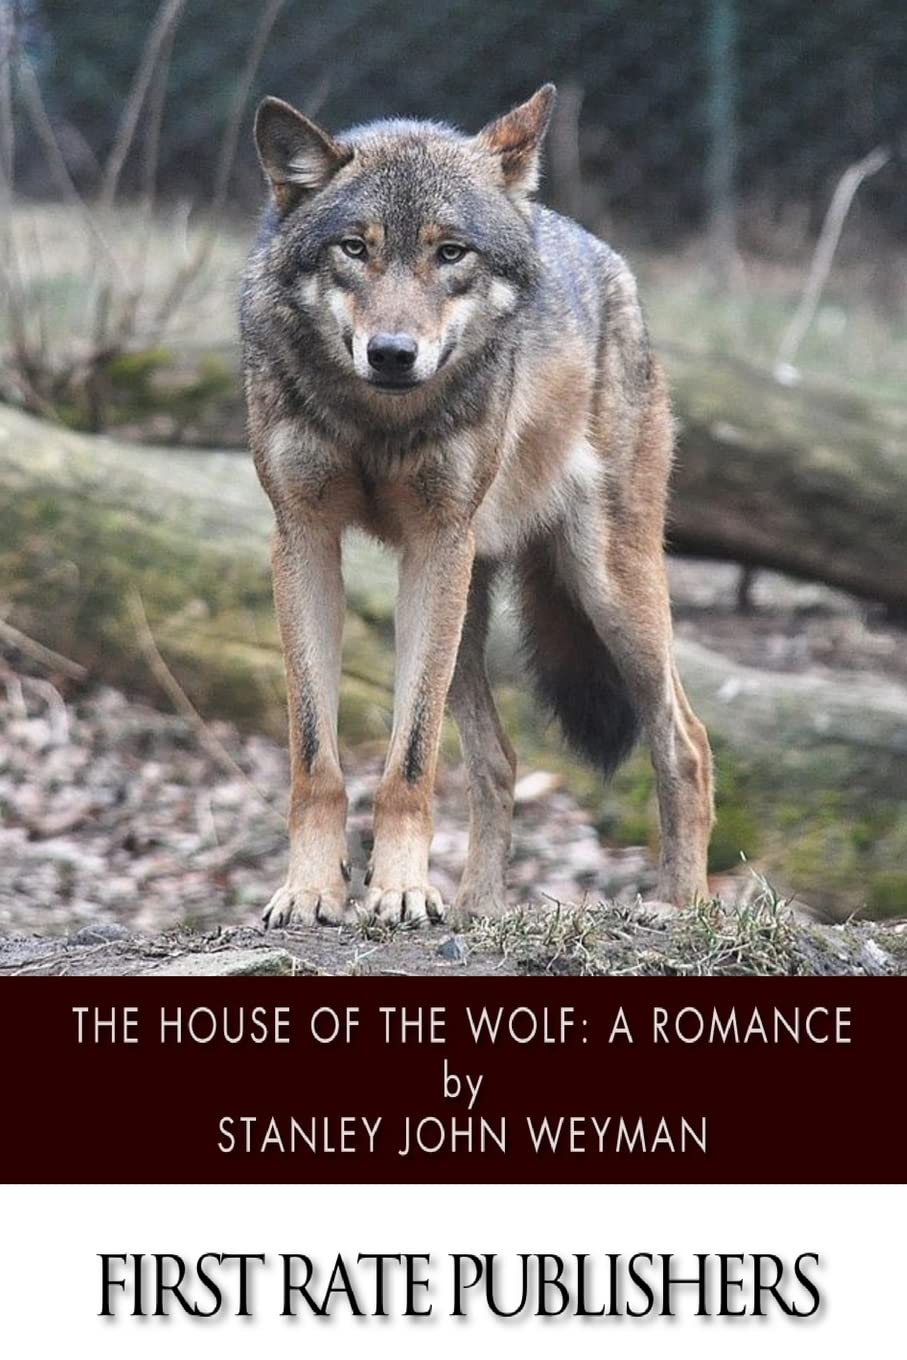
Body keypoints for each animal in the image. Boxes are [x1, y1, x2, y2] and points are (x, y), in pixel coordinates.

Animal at [240, 84, 714, 928]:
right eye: (353, 249)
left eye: (450, 252)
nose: (392, 353)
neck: (379, 422)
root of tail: (600, 252)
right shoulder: (302, 538)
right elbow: (315, 757)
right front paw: (311, 890)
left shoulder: (436, 541)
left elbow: (410, 760)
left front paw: (397, 891)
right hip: (463, 608)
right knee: (499, 759)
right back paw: (478, 910)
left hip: (601, 587)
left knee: (685, 741)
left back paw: (680, 907)